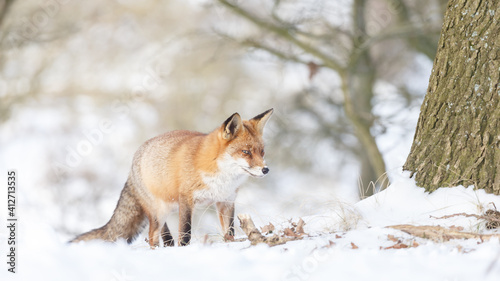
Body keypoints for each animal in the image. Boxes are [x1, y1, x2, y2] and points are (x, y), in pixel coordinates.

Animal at [71, 108, 274, 246]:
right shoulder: (187, 199)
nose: (266, 170)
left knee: (164, 237)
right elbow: (185, 233)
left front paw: (230, 244)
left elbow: (229, 231)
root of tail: (133, 162)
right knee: (153, 237)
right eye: (246, 152)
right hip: (158, 213)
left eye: (262, 152)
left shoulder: (226, 201)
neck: (221, 176)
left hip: (165, 210)